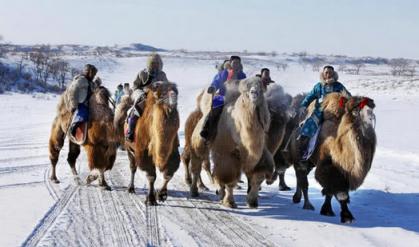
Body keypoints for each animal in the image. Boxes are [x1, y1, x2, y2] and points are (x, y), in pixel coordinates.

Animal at [288, 91, 378, 223]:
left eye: (371, 110)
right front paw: (346, 216)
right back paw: (307, 205)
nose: (371, 119)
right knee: (302, 178)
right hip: (300, 158)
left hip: (310, 162)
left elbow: (330, 192)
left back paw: (297, 198)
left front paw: (328, 210)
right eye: (356, 112)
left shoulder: (342, 171)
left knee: (300, 177)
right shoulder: (328, 166)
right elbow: (339, 192)